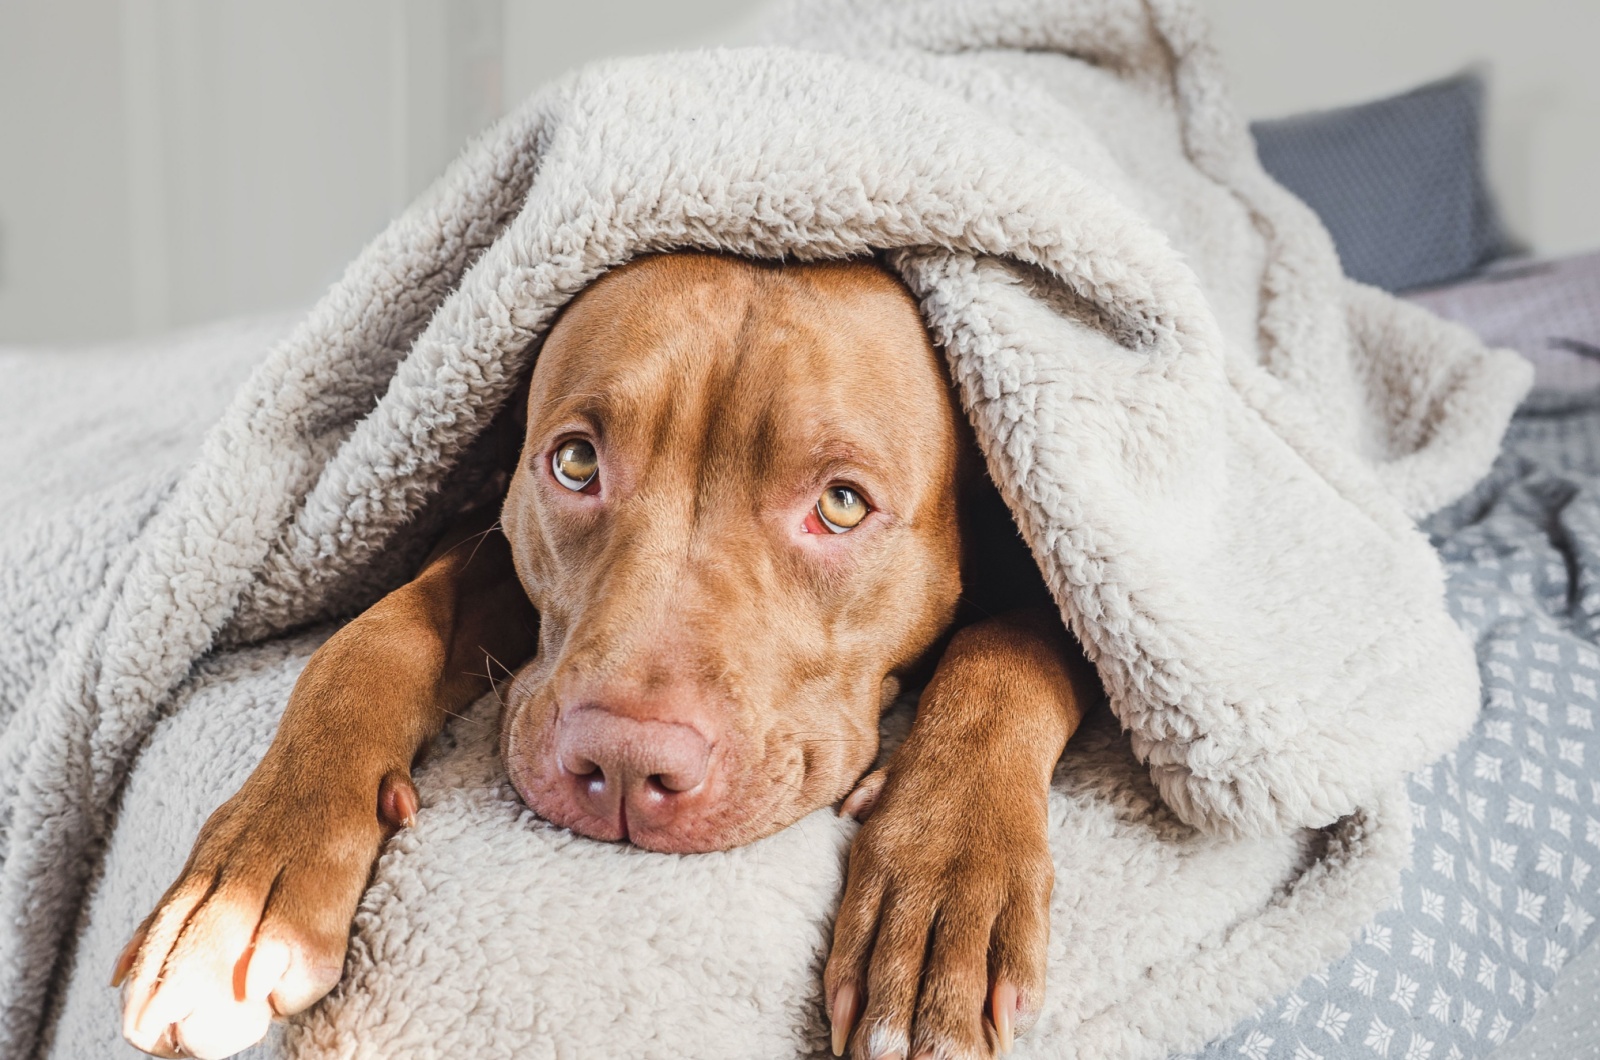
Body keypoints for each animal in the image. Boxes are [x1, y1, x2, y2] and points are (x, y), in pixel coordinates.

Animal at [112, 256, 1100, 1060]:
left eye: (843, 505)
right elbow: (376, 632)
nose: (624, 764)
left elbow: (1012, 647)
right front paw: (248, 880)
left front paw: (942, 887)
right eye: (577, 463)